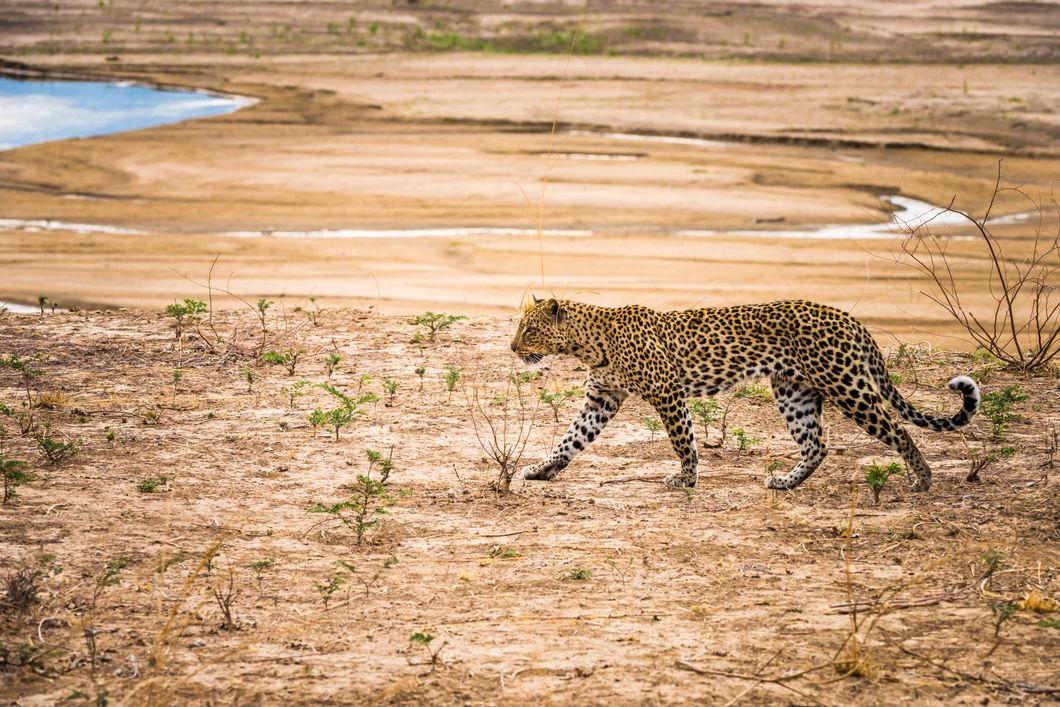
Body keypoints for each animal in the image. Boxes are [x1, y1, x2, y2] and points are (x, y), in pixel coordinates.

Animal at [510, 297, 980, 491]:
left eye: (529, 329)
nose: (513, 347)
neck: (590, 343)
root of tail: (849, 317)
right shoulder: (601, 399)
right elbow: (570, 439)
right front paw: (542, 469)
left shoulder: (668, 393)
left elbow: (683, 441)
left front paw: (686, 479)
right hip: (794, 392)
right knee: (817, 444)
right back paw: (786, 483)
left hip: (846, 385)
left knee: (898, 430)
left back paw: (922, 479)